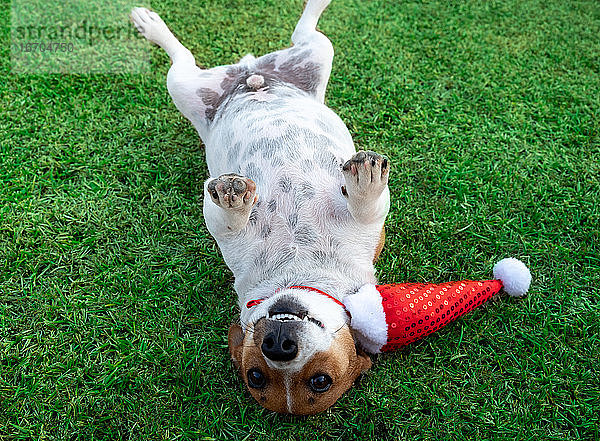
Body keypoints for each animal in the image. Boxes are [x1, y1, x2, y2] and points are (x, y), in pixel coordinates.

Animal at [132, 0, 392, 412]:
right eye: (256, 376)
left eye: (320, 381)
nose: (278, 346)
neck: (296, 273)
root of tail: (251, 73)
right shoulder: (230, 236)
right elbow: (228, 217)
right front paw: (234, 197)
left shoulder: (367, 232)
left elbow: (367, 206)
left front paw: (365, 180)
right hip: (198, 84)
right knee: (184, 52)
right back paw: (149, 22)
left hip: (300, 57)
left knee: (298, 32)